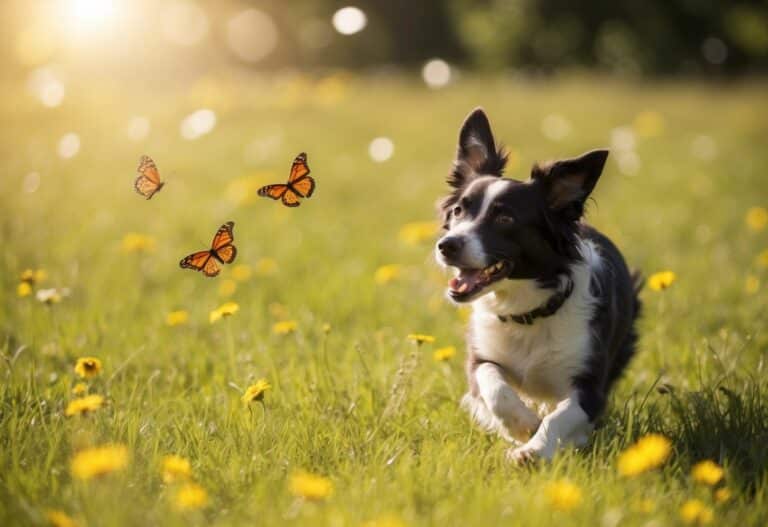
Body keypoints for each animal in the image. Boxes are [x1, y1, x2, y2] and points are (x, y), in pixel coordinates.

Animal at [436, 109, 640, 464]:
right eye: (459, 210)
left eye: (505, 219)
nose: (447, 245)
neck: (526, 314)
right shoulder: (481, 357)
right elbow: (494, 386)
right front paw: (522, 425)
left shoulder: (591, 385)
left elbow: (563, 415)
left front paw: (532, 450)